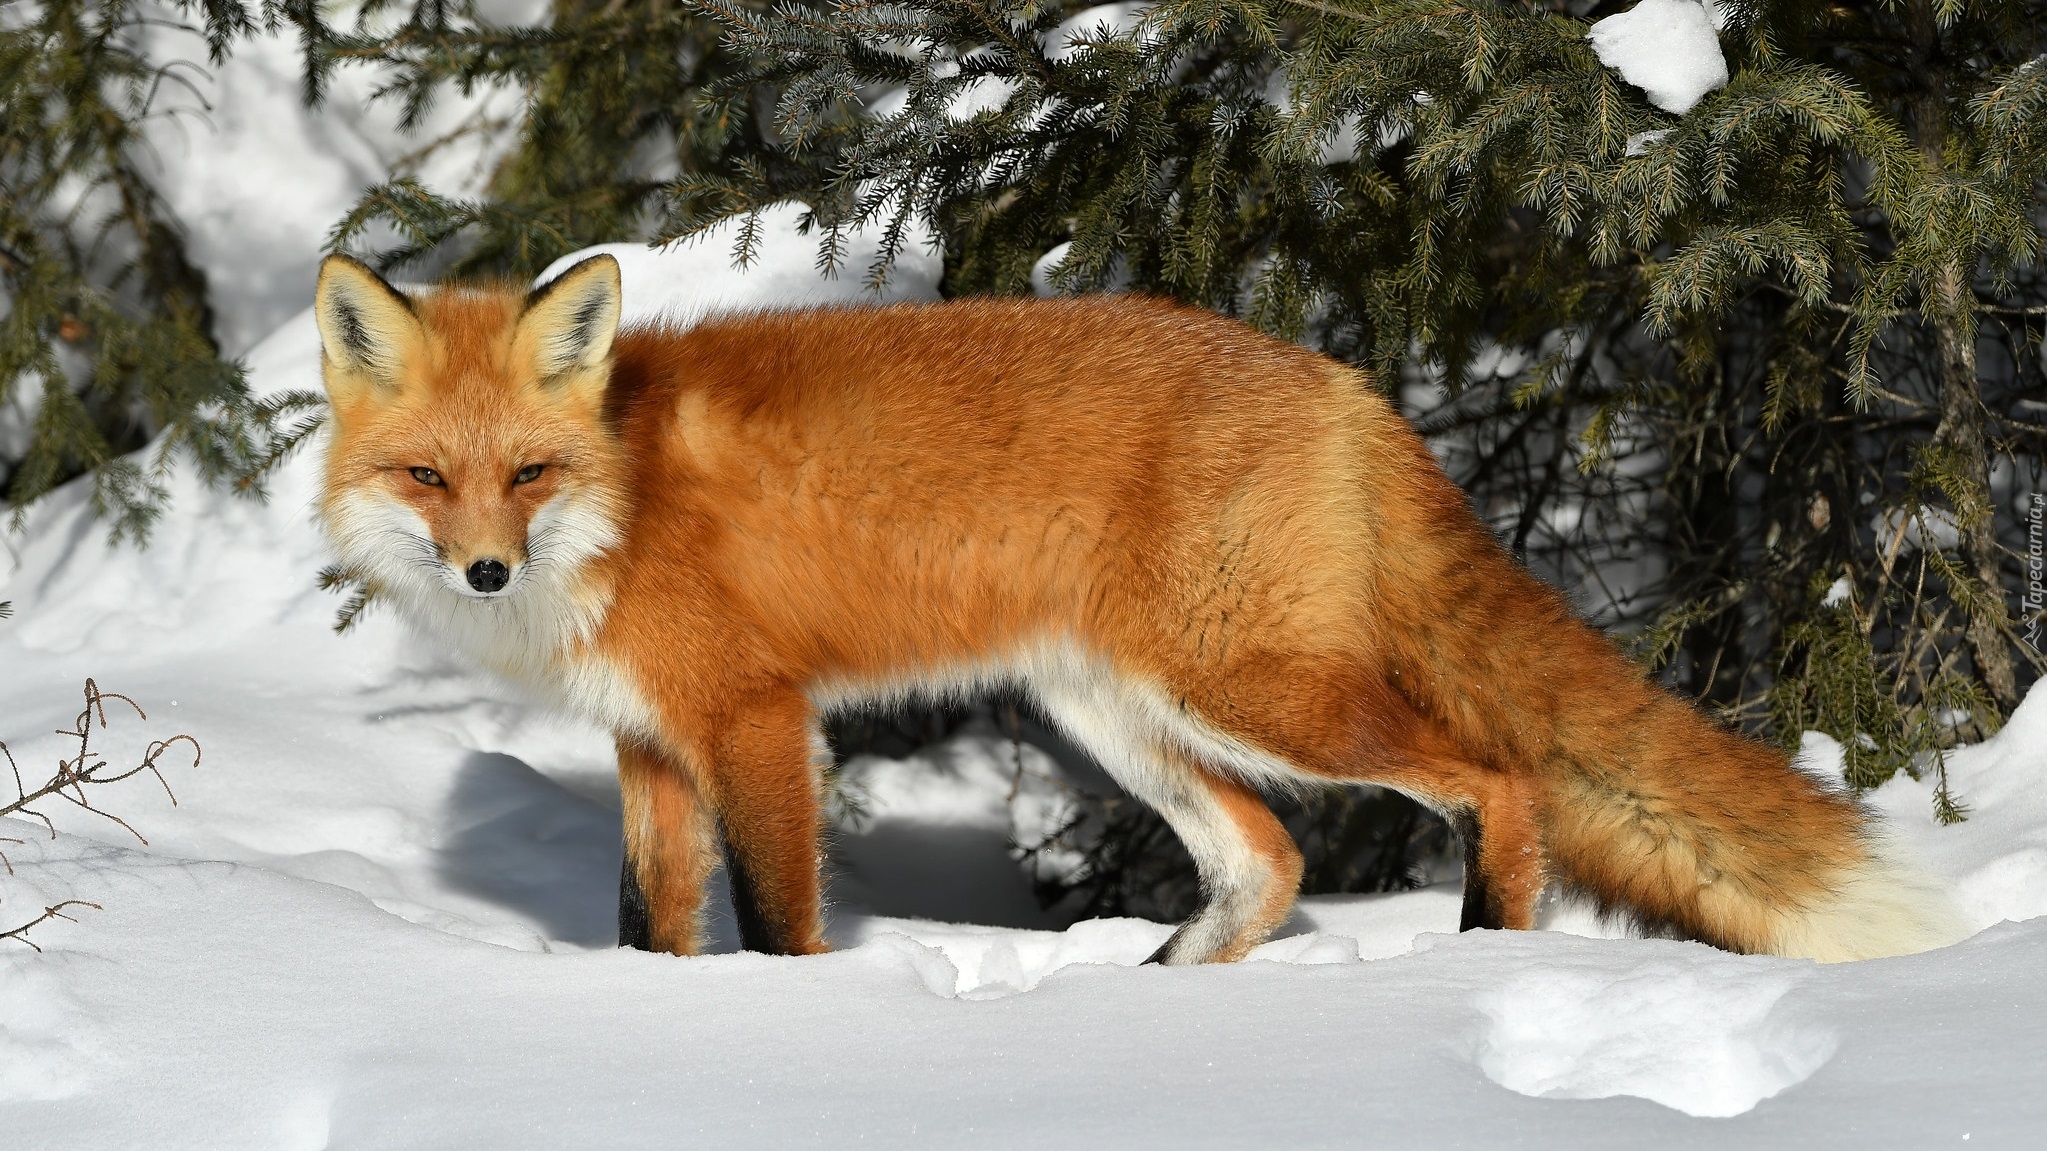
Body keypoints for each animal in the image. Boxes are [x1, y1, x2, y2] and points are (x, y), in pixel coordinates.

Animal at [307, 250, 1965, 958]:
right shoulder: (653, 745)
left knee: (1495, 777)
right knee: (1271, 860)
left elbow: (779, 922)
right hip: (1124, 715)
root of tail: (1338, 374)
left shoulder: (756, 719)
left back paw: (1482, 952)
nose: (485, 569)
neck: (626, 495)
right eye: (428, 478)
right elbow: (650, 927)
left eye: (526, 472)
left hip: (1248, 691)